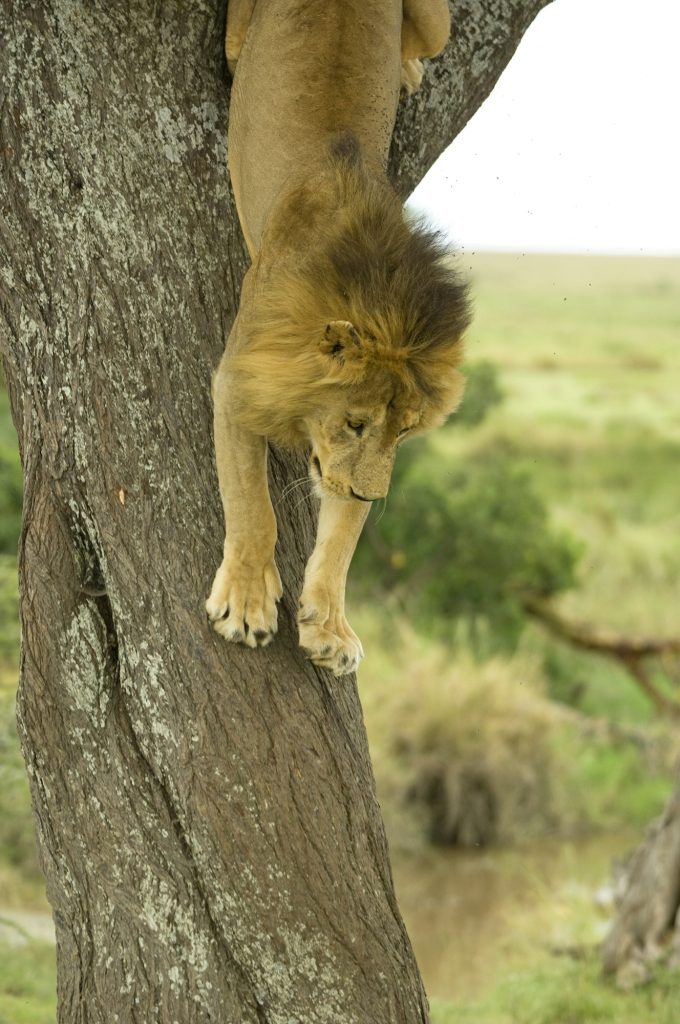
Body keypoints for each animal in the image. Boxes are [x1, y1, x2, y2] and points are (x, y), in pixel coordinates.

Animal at [206, 0, 471, 676]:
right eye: (354, 421)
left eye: (406, 431)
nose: (374, 493)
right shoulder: (240, 379)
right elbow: (252, 504)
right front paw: (247, 602)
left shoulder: (348, 466)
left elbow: (343, 535)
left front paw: (328, 626)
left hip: (438, 22)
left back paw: (407, 68)